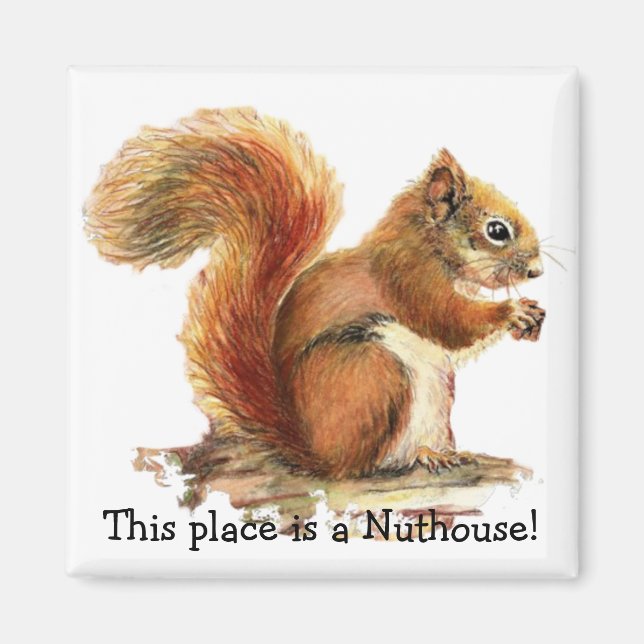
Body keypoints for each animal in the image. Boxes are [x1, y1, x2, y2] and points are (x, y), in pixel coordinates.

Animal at [85, 107, 545, 479]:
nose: (537, 271)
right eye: (497, 230)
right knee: (360, 466)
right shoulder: (409, 278)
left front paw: (532, 314)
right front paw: (512, 312)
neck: (426, 244)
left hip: (434, 397)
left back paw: (438, 454)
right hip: (372, 371)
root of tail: (313, 452)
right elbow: (448, 322)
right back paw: (407, 459)